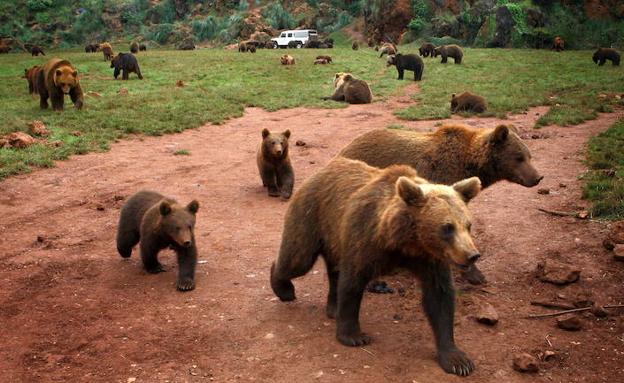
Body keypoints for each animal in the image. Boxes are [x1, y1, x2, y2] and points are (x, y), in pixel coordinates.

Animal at [270, 158, 480, 376]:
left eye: (468, 224)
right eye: (447, 227)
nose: (472, 255)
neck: (404, 242)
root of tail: (323, 170)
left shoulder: (430, 259)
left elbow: (440, 298)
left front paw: (457, 359)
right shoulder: (365, 239)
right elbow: (352, 283)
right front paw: (353, 335)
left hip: (334, 235)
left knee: (333, 270)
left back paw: (333, 308)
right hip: (312, 216)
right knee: (297, 258)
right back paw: (284, 288)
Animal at [342, 124, 540, 284]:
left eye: (529, 156)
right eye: (519, 157)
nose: (537, 177)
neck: (469, 164)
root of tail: (345, 148)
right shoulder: (441, 177)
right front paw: (475, 274)